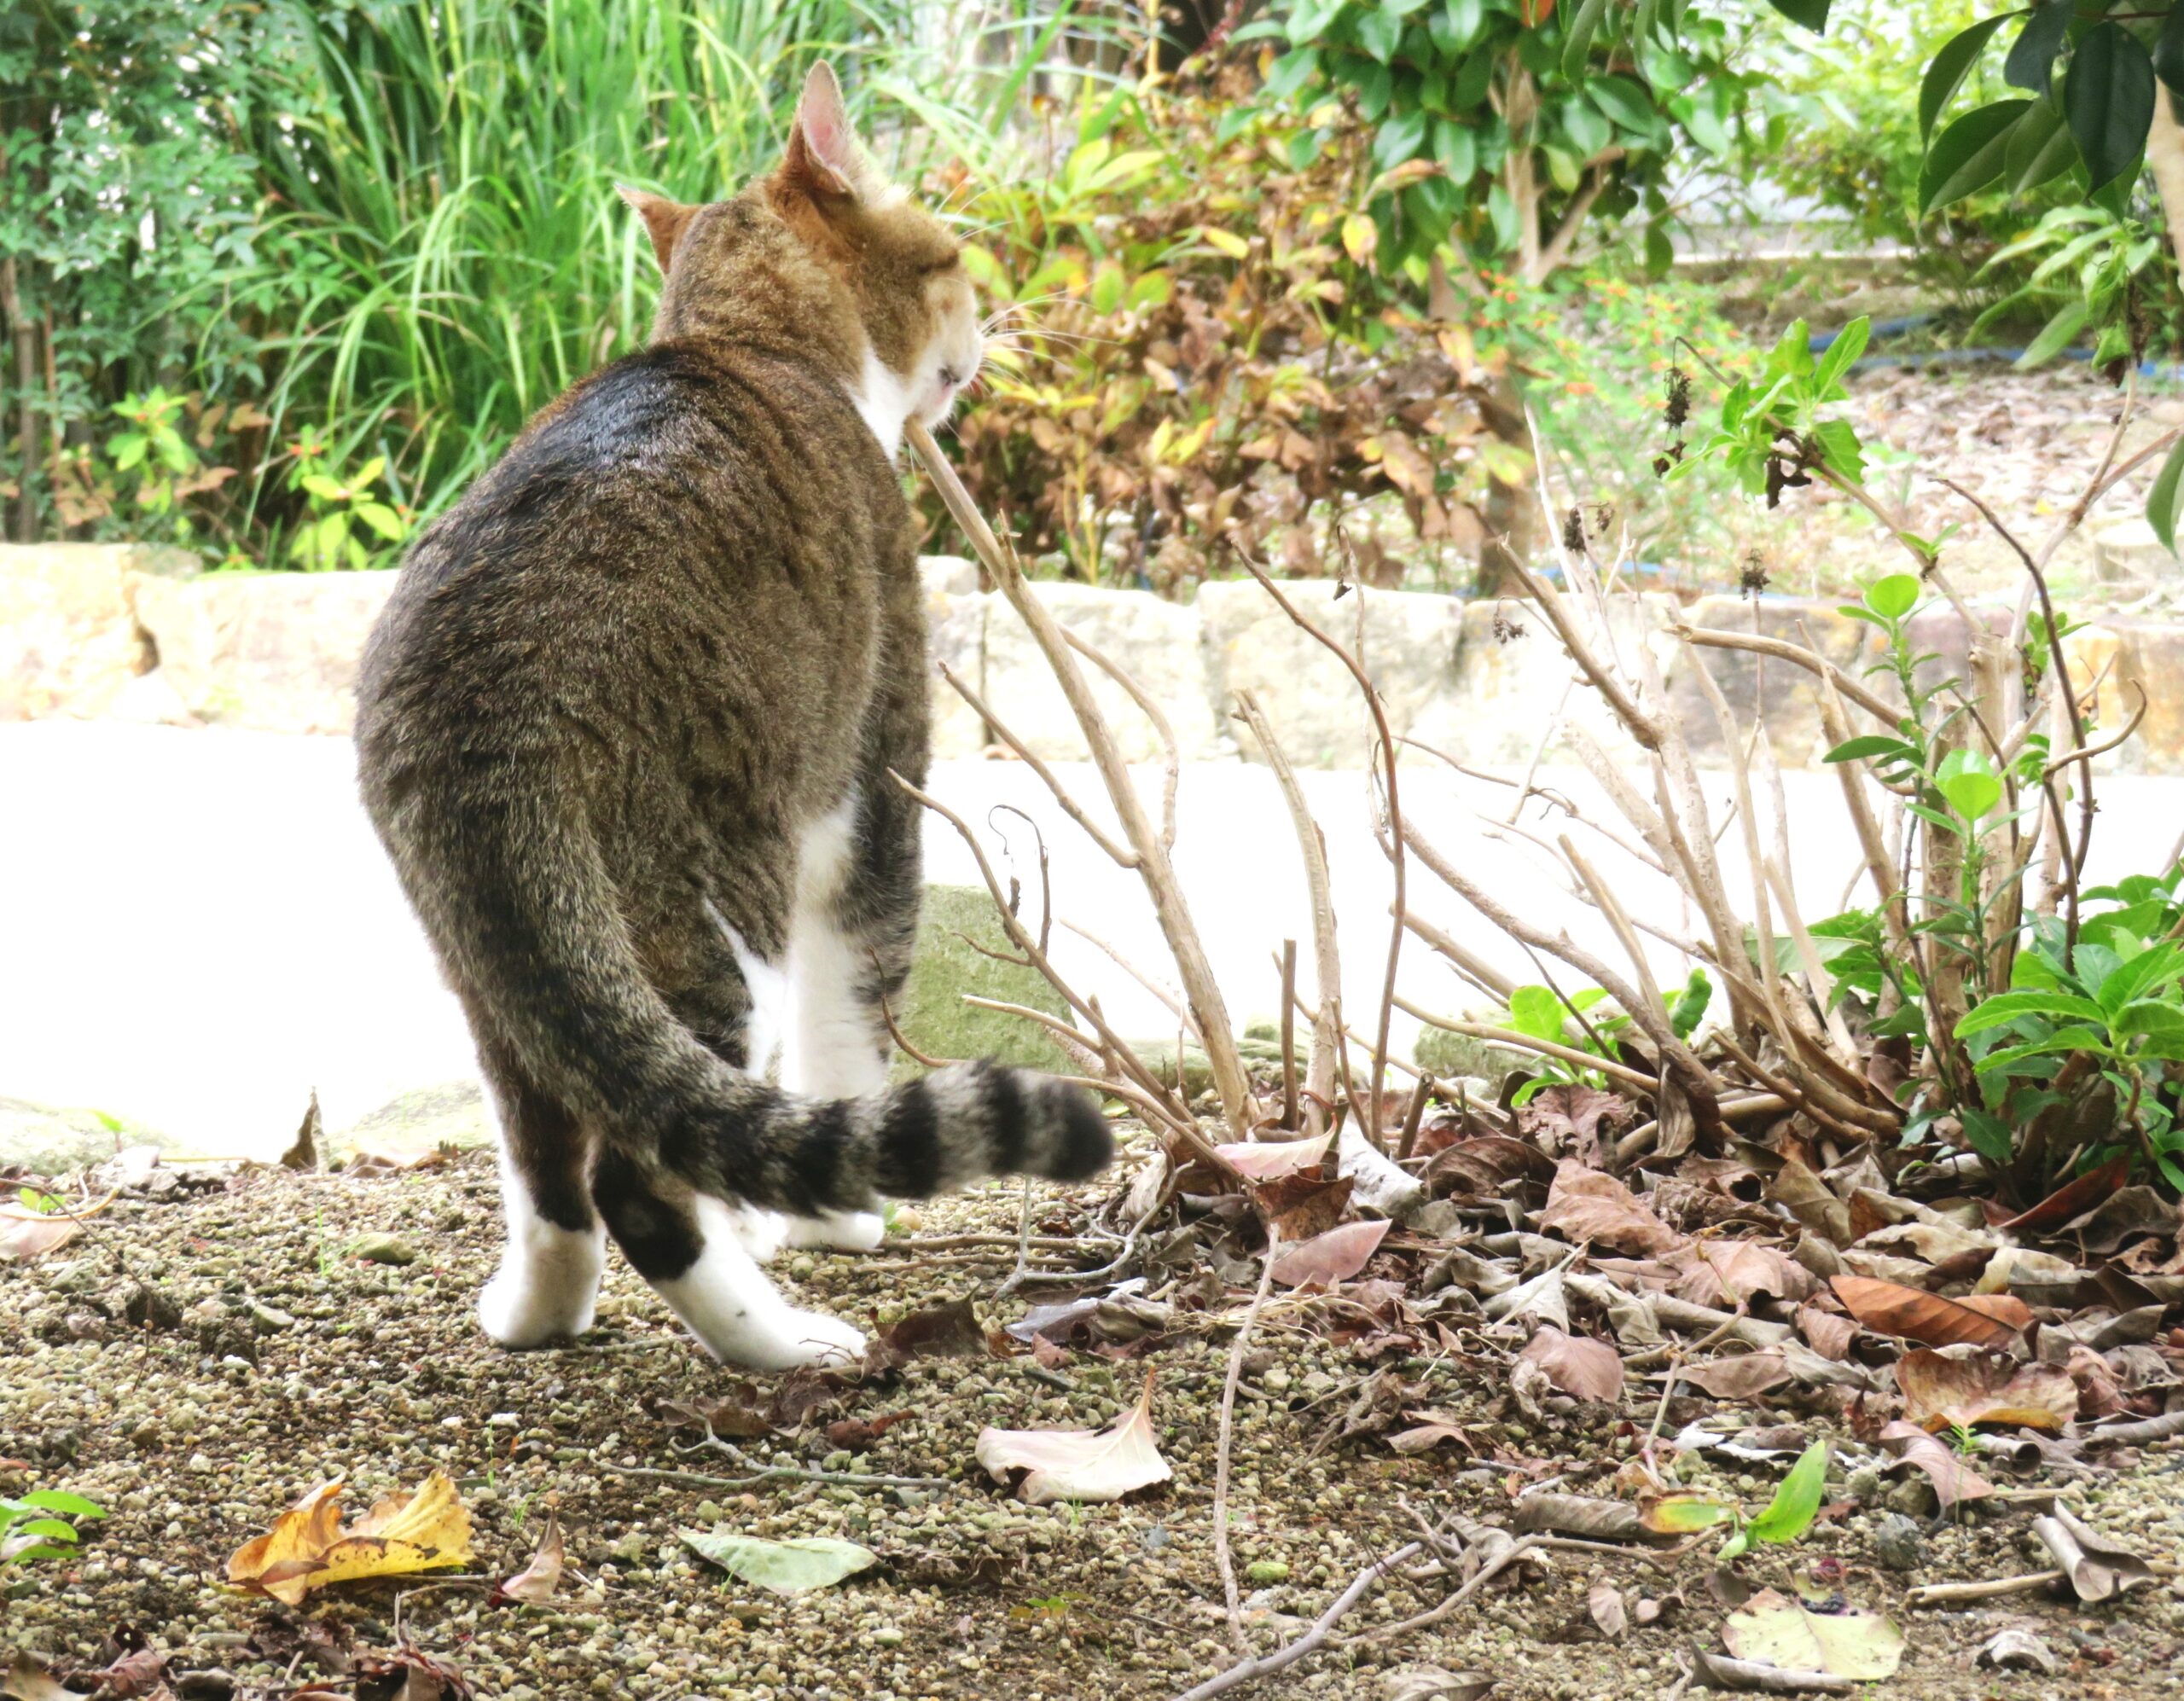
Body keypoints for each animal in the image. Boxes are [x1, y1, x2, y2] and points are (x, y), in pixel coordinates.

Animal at [362, 67, 1109, 1371]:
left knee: (550, 1161)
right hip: (713, 914)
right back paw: (783, 1337)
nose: (987, 332)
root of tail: (481, 699)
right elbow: (856, 1007)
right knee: (639, 1175)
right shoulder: (875, 782)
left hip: (500, 970)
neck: (741, 339)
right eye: (955, 258)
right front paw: (835, 1219)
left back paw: (538, 1313)